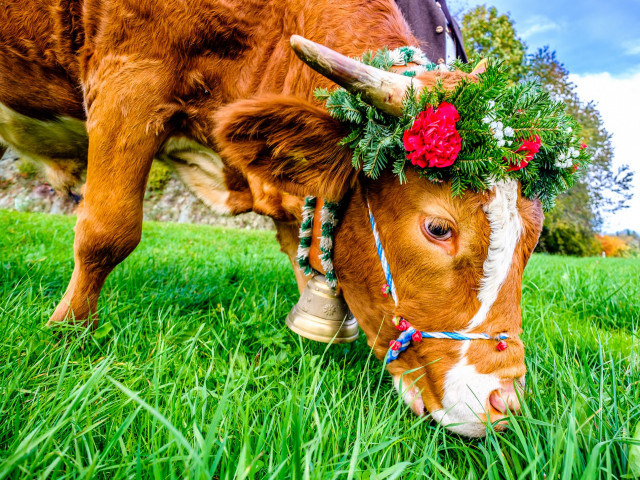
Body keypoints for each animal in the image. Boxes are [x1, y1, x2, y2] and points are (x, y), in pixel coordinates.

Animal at [0, 0, 544, 436]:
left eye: (534, 239)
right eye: (438, 228)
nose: (503, 404)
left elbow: (303, 251)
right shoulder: (130, 74)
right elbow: (108, 231)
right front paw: (68, 334)